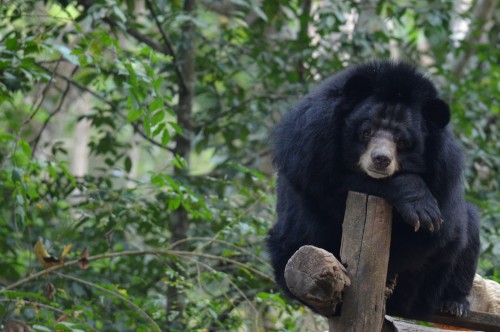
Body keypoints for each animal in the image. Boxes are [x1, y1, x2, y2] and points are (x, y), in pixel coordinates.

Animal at [268, 61, 482, 318]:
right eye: (366, 131)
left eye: (402, 141)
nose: (380, 159)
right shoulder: (310, 141)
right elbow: (327, 185)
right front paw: (421, 207)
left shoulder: (444, 173)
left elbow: (442, 233)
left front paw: (427, 219)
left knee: (469, 229)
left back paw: (453, 303)